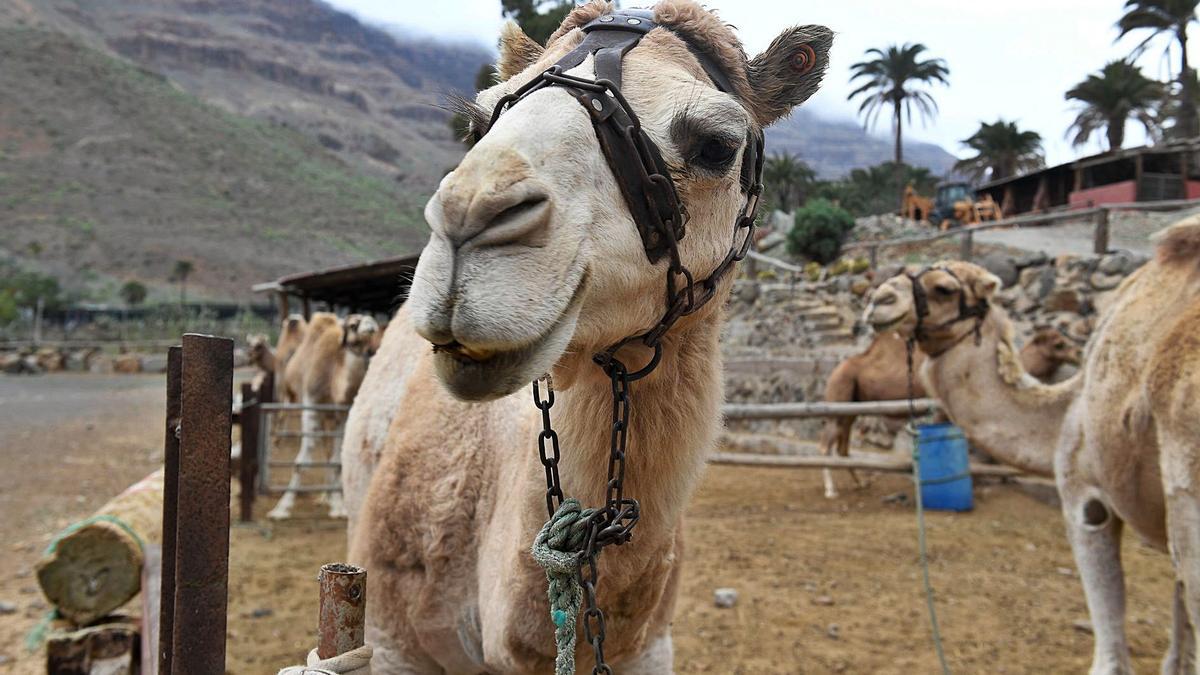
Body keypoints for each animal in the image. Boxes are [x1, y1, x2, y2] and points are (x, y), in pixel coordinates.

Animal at [268, 312, 376, 521]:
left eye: (370, 318)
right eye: (353, 324)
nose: (371, 325)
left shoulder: (342, 413)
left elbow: (336, 460)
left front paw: (338, 507)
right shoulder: (311, 405)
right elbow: (301, 461)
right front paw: (281, 508)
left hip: (328, 418)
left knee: (328, 451)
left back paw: (326, 498)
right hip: (290, 394)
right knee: (283, 418)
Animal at [820, 326, 1084, 494]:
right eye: (1059, 344)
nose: (1079, 352)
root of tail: (835, 370)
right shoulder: (940, 406)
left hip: (851, 406)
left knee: (842, 448)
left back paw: (860, 483)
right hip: (839, 394)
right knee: (826, 446)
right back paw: (831, 490)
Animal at [868, 236, 1200, 672]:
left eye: (944, 289)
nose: (878, 300)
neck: (1064, 408)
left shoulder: (1084, 497)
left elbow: (1111, 649)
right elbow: (1179, 645)